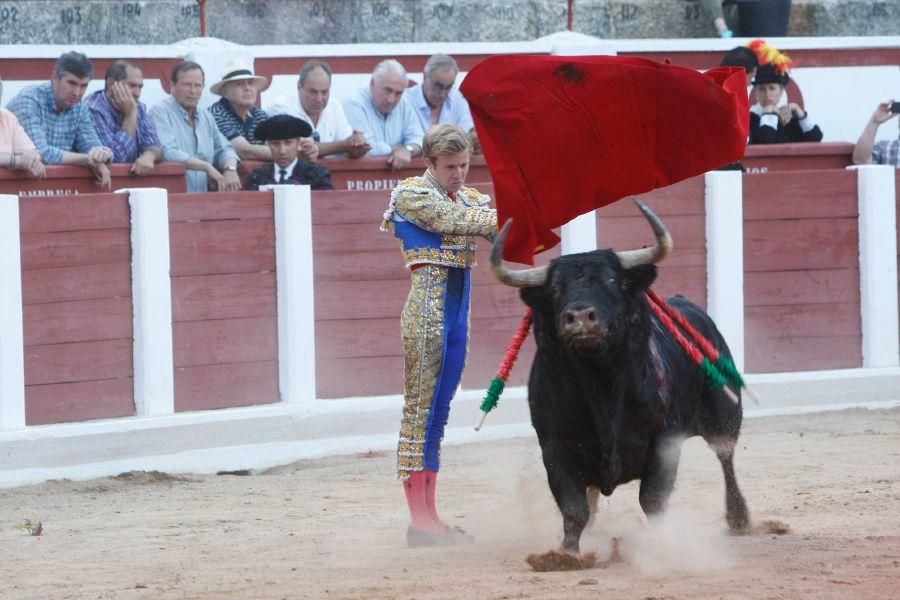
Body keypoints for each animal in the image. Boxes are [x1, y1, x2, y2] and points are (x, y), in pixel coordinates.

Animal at [488, 202, 748, 552]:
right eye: (555, 288)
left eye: (611, 279)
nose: (580, 317)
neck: (600, 382)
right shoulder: (555, 447)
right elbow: (574, 509)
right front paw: (566, 554)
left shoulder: (664, 443)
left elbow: (652, 501)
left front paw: (658, 547)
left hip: (725, 413)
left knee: (725, 456)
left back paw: (739, 518)